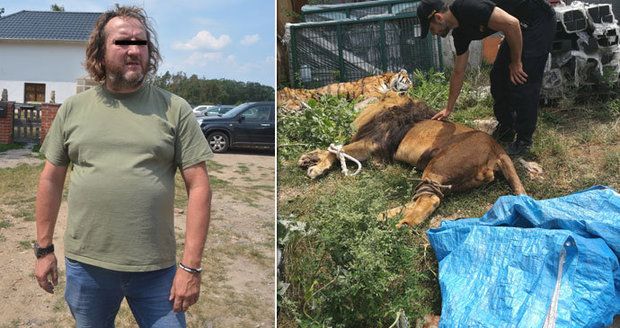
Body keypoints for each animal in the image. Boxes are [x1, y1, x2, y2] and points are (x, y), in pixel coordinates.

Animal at [298, 92, 524, 228]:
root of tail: (497, 149)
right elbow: (333, 149)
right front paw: (308, 158)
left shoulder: (372, 144)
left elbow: (337, 151)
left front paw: (316, 168)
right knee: (422, 197)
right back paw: (382, 216)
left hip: (439, 166)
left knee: (429, 200)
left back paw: (400, 226)